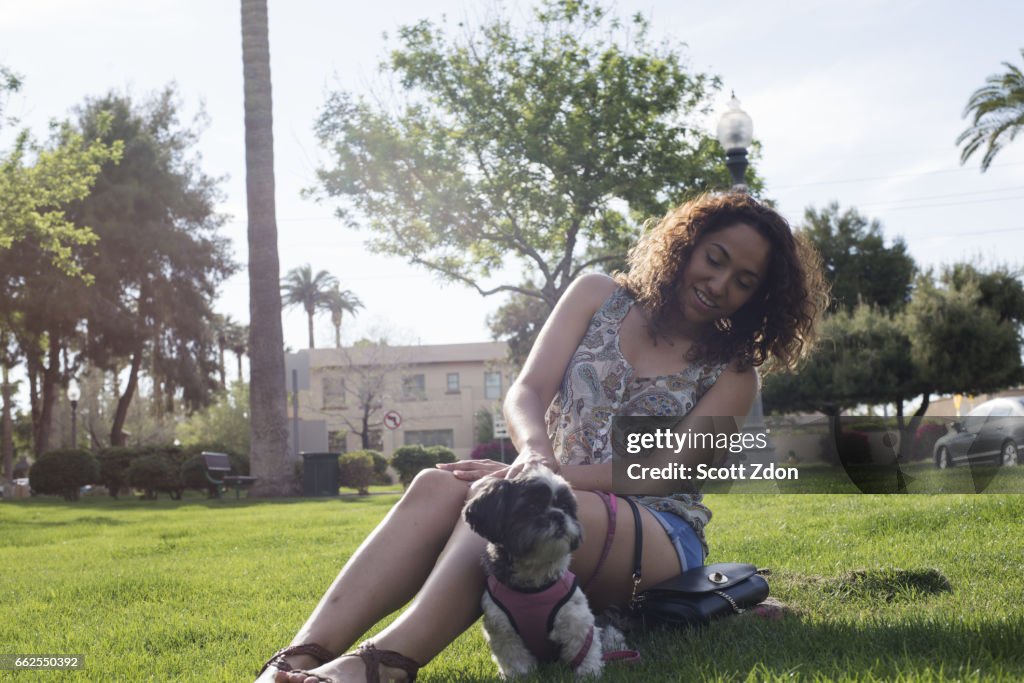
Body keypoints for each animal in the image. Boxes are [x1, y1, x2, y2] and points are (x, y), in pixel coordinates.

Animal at [462, 464, 622, 679]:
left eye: (566, 508)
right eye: (532, 507)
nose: (558, 515)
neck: (534, 584)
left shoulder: (577, 619)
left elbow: (583, 649)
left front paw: (588, 673)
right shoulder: (502, 628)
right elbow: (515, 658)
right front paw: (519, 676)